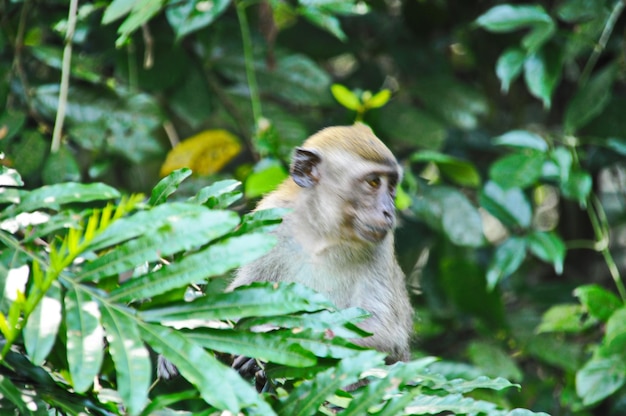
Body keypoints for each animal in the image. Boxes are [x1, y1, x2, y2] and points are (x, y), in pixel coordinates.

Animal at [227, 122, 412, 362]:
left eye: (391, 186)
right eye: (373, 182)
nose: (388, 211)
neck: (321, 233)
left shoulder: (381, 246)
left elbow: (384, 331)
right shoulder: (269, 222)